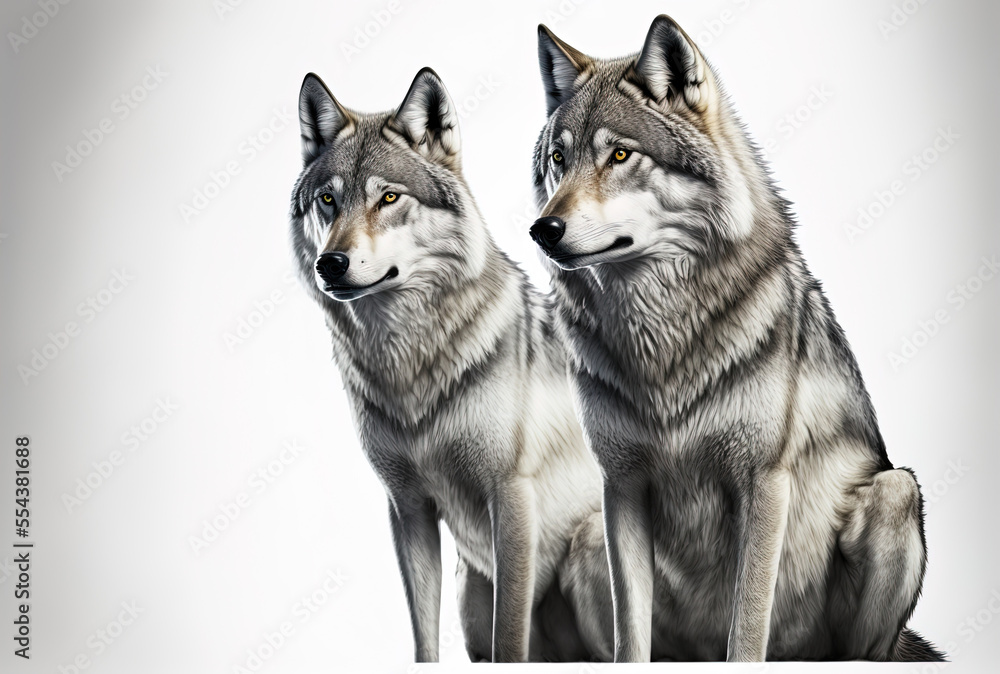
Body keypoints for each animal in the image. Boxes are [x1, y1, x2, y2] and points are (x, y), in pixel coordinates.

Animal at [289, 67, 607, 662]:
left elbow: (511, 640)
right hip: (468, 596)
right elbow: (422, 636)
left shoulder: (511, 497)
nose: (330, 263)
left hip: (587, 548)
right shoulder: (407, 507)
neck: (408, 363)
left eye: (389, 197)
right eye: (327, 200)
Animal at [528, 15, 944, 662]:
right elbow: (630, 634)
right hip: (589, 535)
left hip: (896, 494)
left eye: (619, 154)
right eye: (558, 158)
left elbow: (748, 624)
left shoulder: (763, 481)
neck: (661, 337)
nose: (542, 228)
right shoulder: (620, 485)